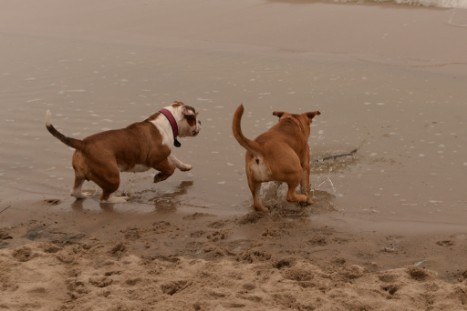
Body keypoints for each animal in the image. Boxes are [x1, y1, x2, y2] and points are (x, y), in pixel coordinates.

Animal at [44, 102, 202, 205]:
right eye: (194, 117)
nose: (200, 122)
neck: (169, 122)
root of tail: (83, 143)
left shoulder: (165, 154)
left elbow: (174, 159)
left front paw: (185, 166)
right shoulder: (156, 159)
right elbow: (170, 169)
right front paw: (159, 177)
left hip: (81, 175)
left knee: (75, 192)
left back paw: (84, 195)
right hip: (112, 176)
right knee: (104, 199)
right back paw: (120, 199)